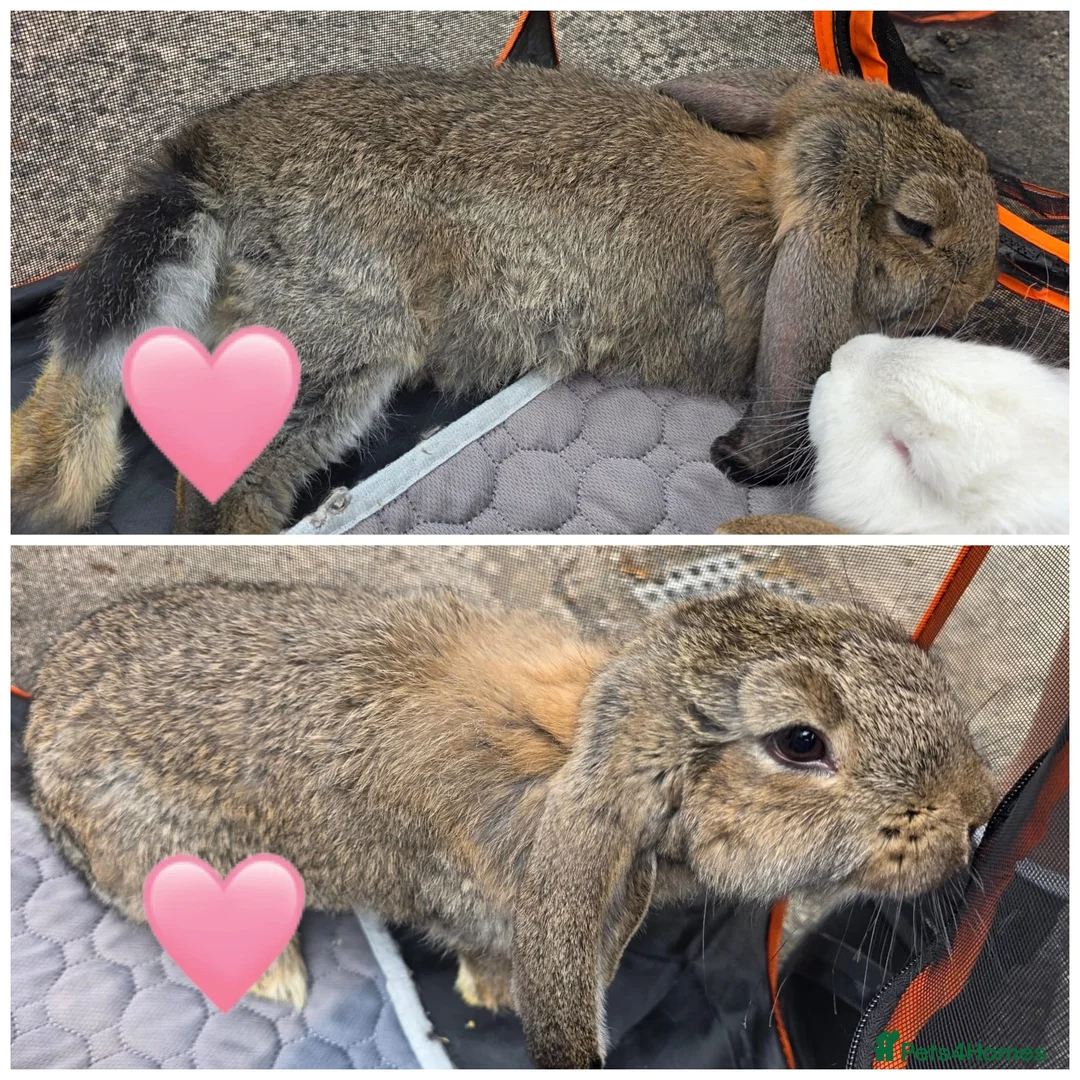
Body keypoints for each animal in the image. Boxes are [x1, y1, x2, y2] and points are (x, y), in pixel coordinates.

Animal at [11, 63, 1000, 534]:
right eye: (918, 224)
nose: (985, 283)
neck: (773, 203)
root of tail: (211, 160)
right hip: (333, 341)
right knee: (225, 485)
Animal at [24, 581, 997, 1068]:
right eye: (800, 743)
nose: (977, 813)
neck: (580, 744)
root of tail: (37, 752)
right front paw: (495, 995)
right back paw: (276, 977)